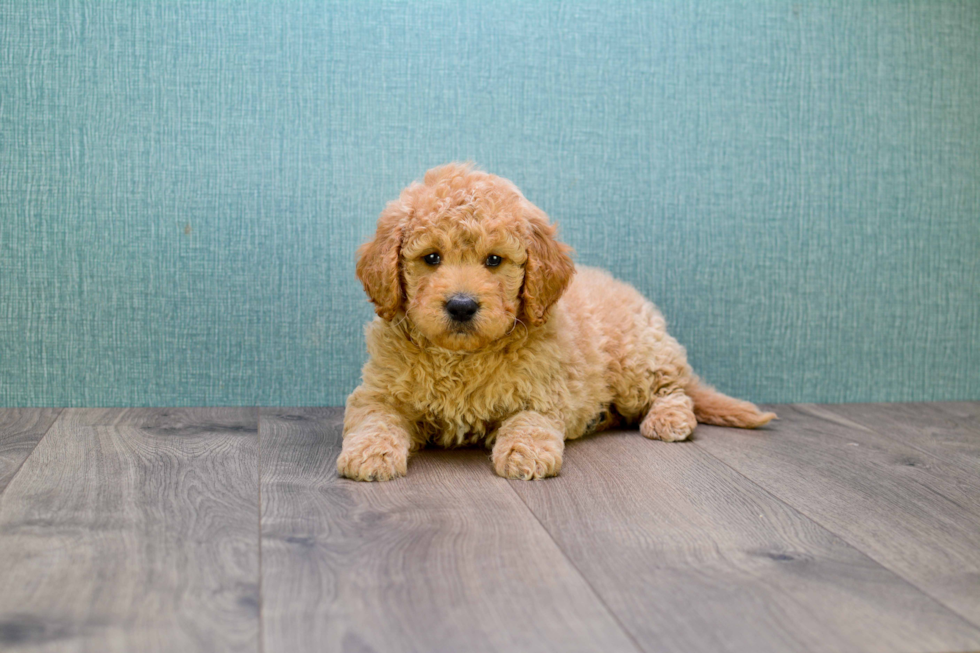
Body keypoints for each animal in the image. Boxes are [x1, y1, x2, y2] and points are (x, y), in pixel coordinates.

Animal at [336, 163, 772, 478]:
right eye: (431, 258)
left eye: (494, 260)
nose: (461, 305)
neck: (462, 356)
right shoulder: (378, 393)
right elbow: (375, 419)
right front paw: (369, 455)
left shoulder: (543, 393)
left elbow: (529, 422)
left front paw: (524, 454)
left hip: (637, 362)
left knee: (674, 390)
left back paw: (668, 419)